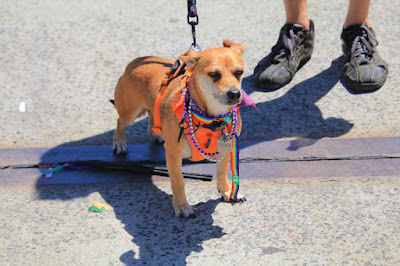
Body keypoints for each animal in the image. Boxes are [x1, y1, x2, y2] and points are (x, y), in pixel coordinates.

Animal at [111, 40, 245, 218]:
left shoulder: (225, 149)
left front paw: (227, 191)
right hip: (130, 113)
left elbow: (222, 173)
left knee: (152, 116)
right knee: (120, 121)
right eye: (213, 74)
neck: (213, 118)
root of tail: (136, 61)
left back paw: (155, 134)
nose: (235, 93)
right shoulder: (173, 155)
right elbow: (178, 181)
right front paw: (182, 207)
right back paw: (119, 143)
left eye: (239, 72)